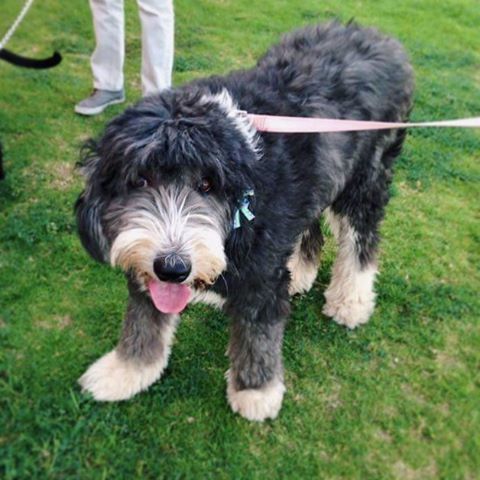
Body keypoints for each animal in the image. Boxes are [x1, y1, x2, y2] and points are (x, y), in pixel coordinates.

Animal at [75, 21, 412, 420]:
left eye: (207, 184)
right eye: (140, 180)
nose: (173, 268)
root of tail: (378, 36)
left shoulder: (261, 270)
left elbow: (257, 329)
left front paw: (255, 391)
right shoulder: (144, 258)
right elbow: (143, 317)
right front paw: (126, 370)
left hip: (365, 179)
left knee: (361, 239)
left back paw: (351, 302)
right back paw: (301, 271)